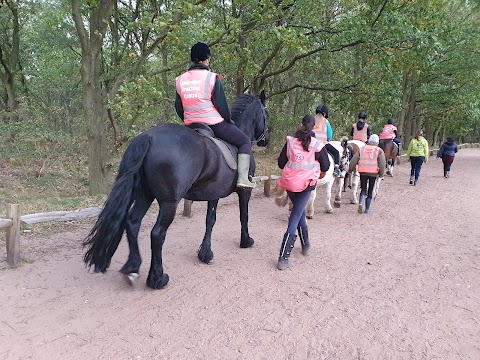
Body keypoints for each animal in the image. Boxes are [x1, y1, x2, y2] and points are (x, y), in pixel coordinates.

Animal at [83, 91, 270, 288]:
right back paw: (157, 278)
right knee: (157, 233)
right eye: (266, 113)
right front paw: (246, 240)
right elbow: (244, 215)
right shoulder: (244, 191)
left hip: (144, 195)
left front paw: (205, 253)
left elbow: (210, 220)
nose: (266, 140)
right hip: (169, 203)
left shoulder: (214, 193)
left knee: (133, 223)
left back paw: (132, 268)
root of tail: (148, 137)